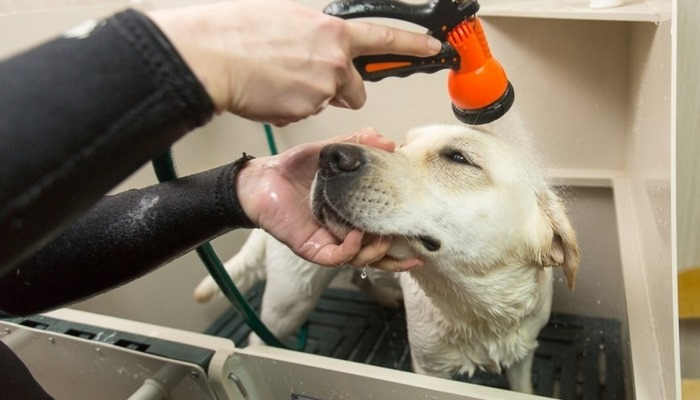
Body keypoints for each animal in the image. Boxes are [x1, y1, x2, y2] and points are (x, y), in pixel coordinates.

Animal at [194, 125, 576, 394]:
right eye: (401, 145)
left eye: (458, 158)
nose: (330, 156)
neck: (478, 310)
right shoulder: (429, 369)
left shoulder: (523, 352)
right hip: (291, 301)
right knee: (257, 337)